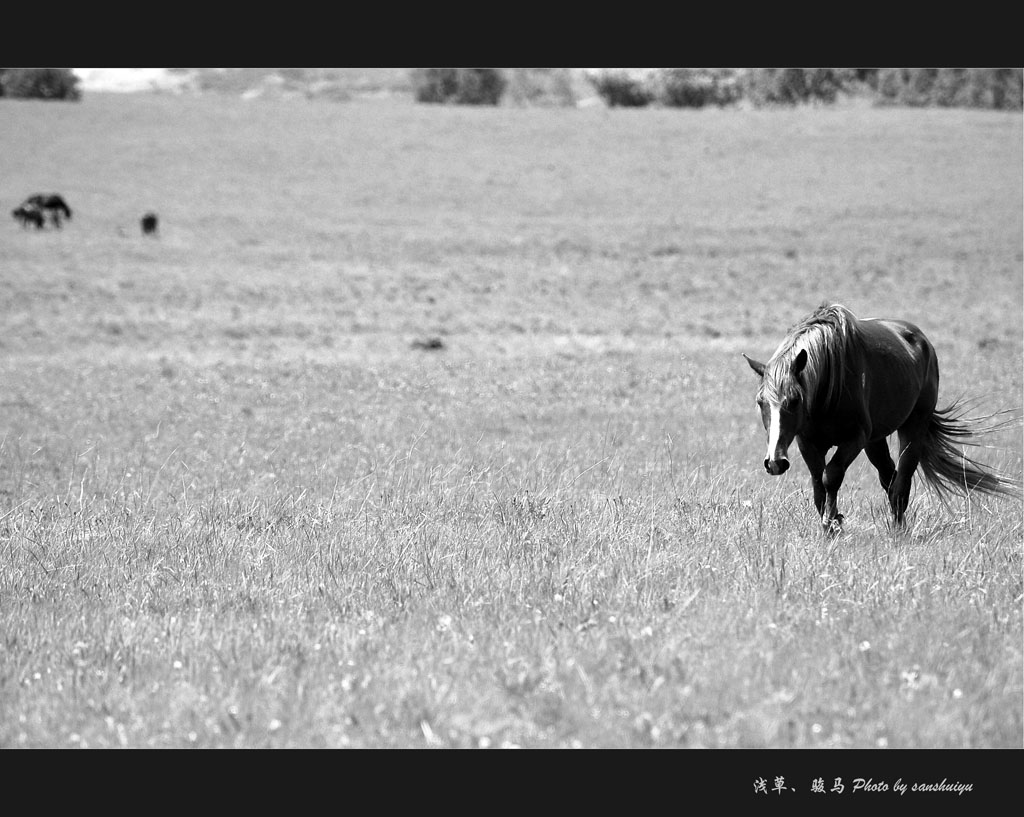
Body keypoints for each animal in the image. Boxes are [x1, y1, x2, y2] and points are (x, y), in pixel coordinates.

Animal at [745, 303, 1015, 532]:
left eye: (794, 400)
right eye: (760, 402)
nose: (774, 462)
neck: (828, 386)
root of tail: (923, 342)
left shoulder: (854, 439)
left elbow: (831, 476)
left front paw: (833, 523)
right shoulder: (808, 443)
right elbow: (818, 485)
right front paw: (830, 526)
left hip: (913, 428)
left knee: (901, 481)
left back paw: (898, 530)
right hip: (876, 441)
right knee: (889, 477)